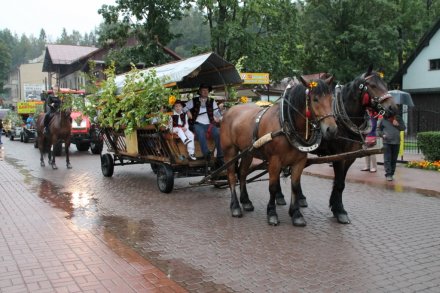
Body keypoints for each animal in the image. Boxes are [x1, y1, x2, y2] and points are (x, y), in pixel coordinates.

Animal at [220, 76, 336, 226]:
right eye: (315, 99)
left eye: (331, 99)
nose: (331, 129)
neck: (286, 124)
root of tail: (229, 110)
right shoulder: (275, 161)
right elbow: (273, 187)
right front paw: (272, 213)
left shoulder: (300, 161)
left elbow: (295, 186)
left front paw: (296, 214)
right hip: (230, 151)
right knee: (232, 176)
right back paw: (235, 206)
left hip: (248, 153)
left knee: (242, 173)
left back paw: (246, 202)